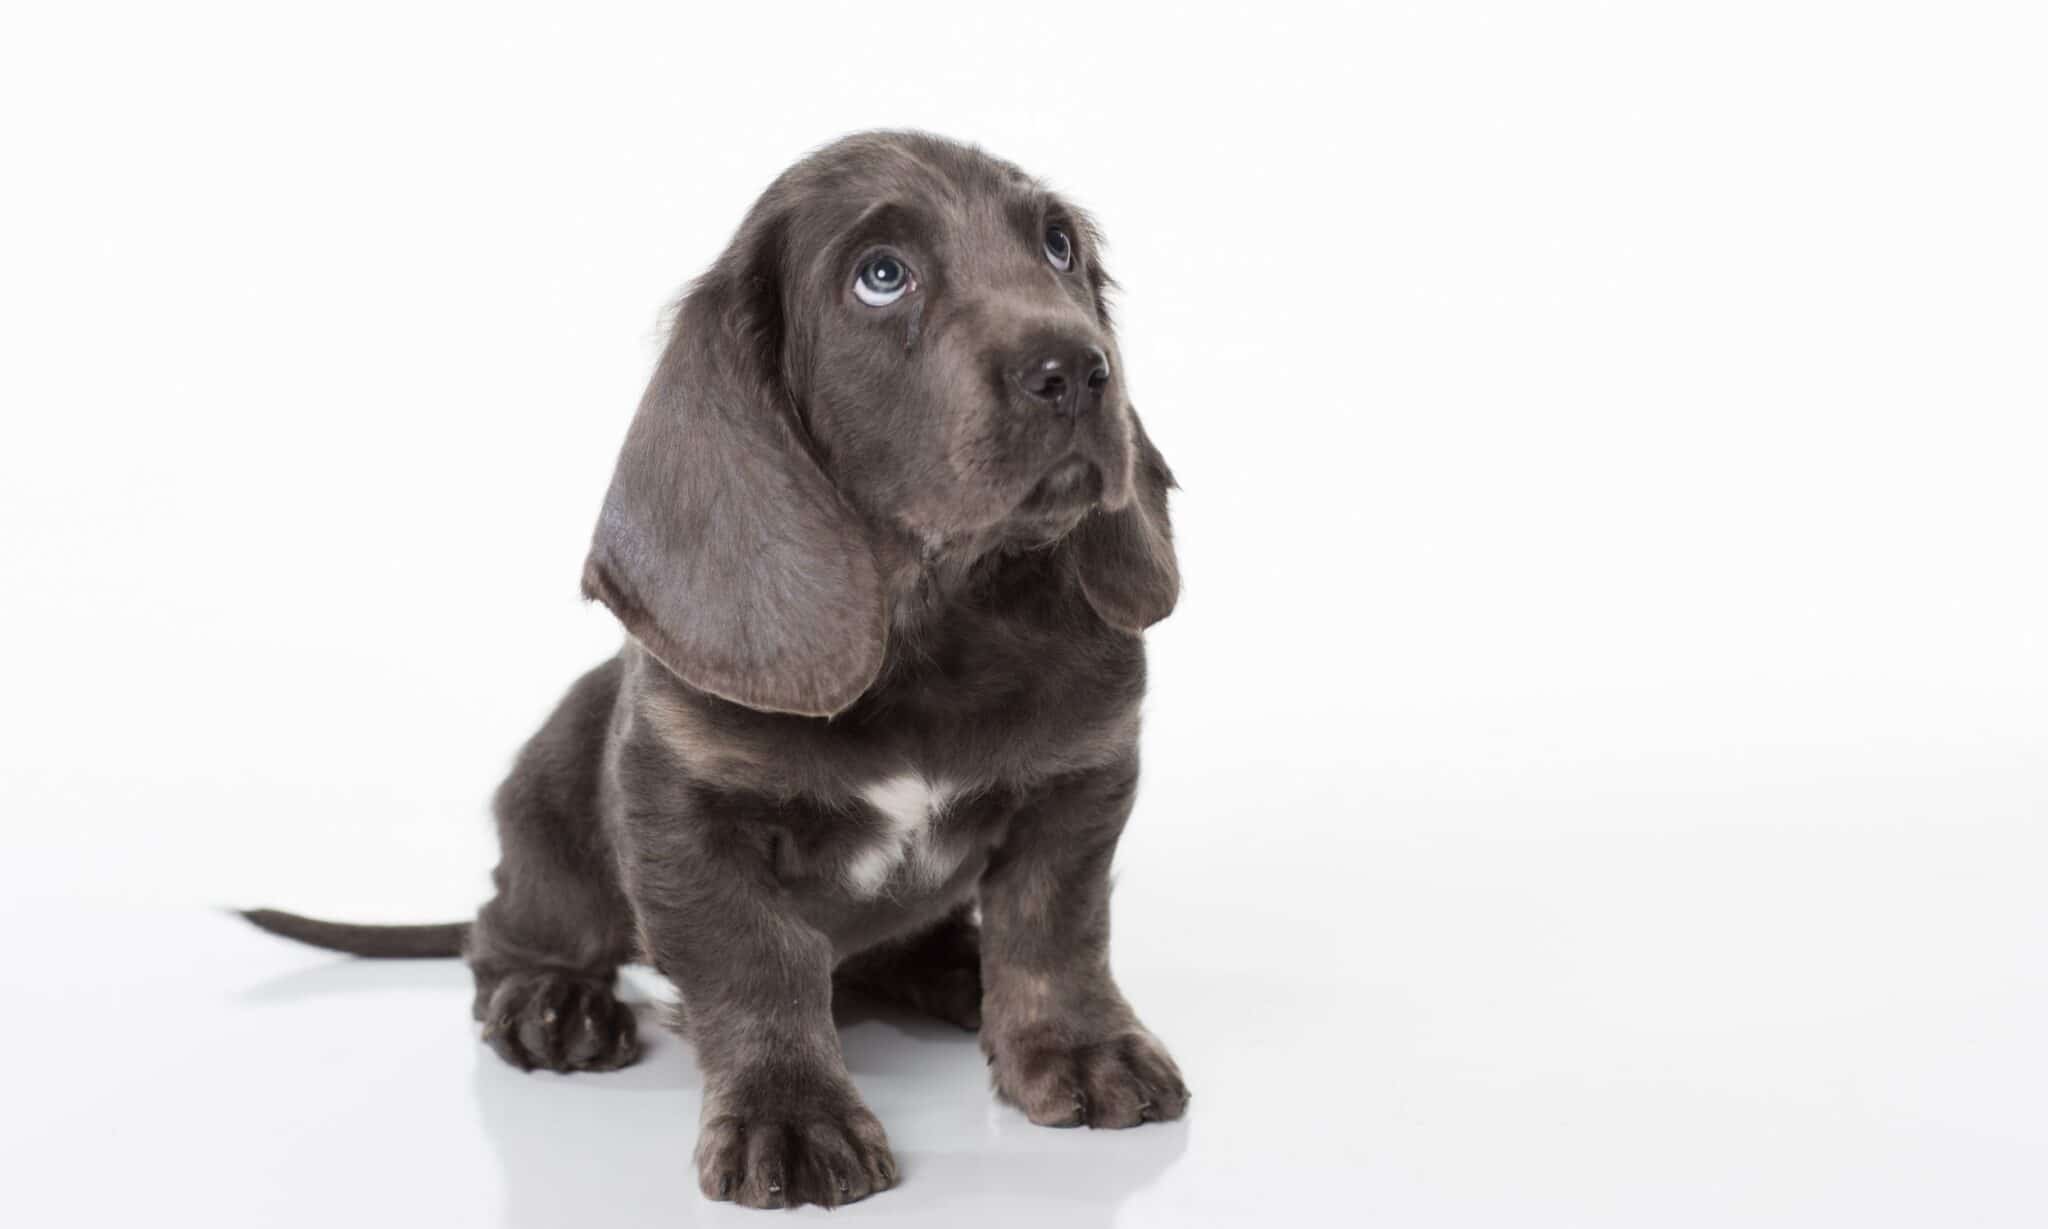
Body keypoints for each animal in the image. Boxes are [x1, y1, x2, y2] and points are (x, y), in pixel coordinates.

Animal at [245, 130, 1187, 1210]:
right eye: (881, 276)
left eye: (1058, 246)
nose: (1077, 369)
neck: (933, 618)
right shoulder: (685, 816)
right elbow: (760, 966)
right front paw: (793, 1113)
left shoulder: (1083, 776)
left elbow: (1054, 926)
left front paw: (1079, 1048)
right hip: (549, 806)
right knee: (498, 931)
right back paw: (553, 1001)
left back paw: (957, 968)